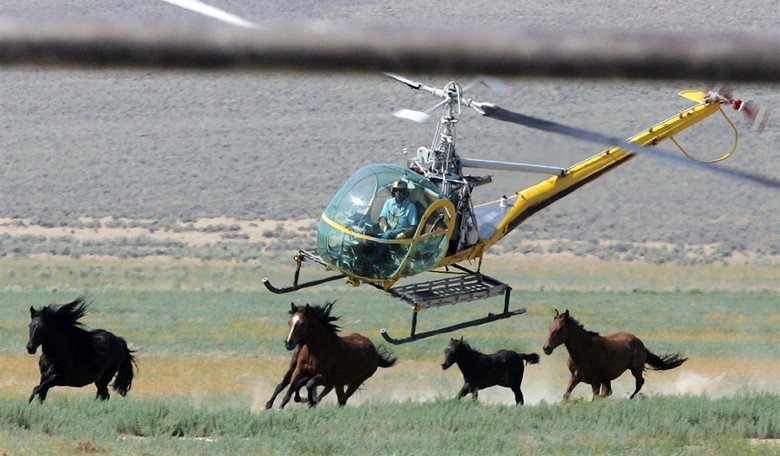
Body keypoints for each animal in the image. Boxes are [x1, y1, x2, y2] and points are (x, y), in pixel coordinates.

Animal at [542, 309, 687, 400]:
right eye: (549, 328)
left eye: (560, 329)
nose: (546, 348)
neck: (584, 350)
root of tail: (640, 343)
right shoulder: (575, 377)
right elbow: (566, 395)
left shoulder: (596, 381)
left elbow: (596, 397)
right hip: (608, 378)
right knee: (610, 391)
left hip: (635, 369)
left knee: (639, 382)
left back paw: (630, 398)